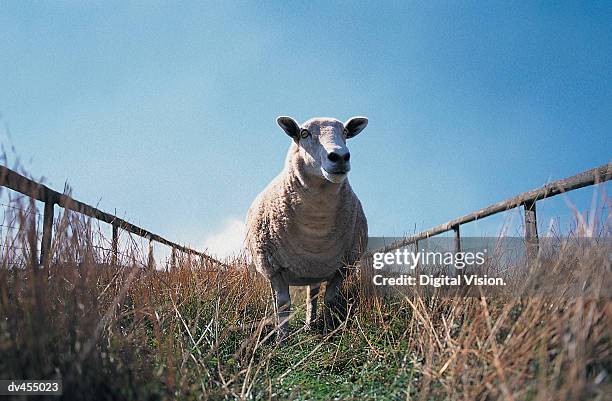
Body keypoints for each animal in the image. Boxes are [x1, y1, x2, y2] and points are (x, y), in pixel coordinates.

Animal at [245, 115, 368, 340]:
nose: (340, 156)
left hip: (315, 270)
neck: (315, 228)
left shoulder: (342, 267)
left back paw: (310, 326)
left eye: (346, 133)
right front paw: (282, 339)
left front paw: (328, 333)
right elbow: (283, 304)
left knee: (312, 296)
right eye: (304, 133)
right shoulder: (274, 268)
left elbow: (330, 300)